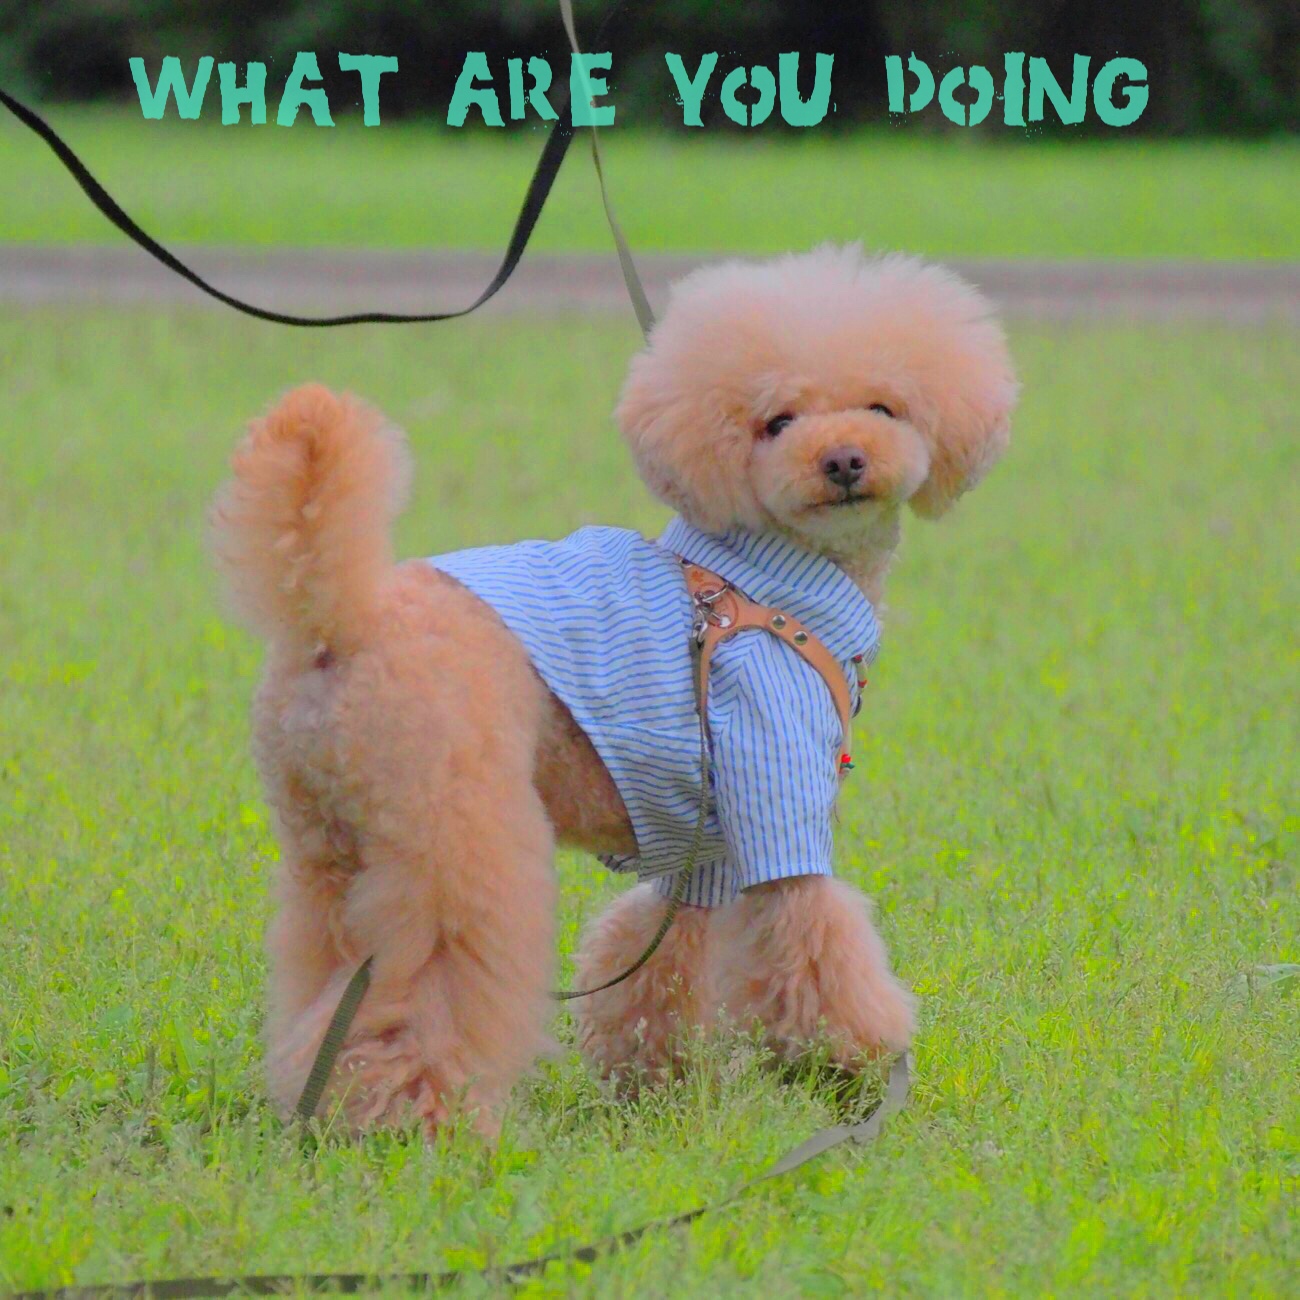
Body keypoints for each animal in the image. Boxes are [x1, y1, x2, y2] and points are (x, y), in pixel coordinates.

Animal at [210, 245, 1017, 1135]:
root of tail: (337, 621)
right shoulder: (771, 785)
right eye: (777, 423)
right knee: (426, 986)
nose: (843, 460)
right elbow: (813, 932)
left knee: (327, 976)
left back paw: (318, 1102)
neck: (770, 592)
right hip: (452, 834)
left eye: (884, 406)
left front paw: (653, 1082)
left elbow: (658, 951)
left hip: (328, 849)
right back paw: (420, 1120)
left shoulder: (706, 840)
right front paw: (859, 1065)